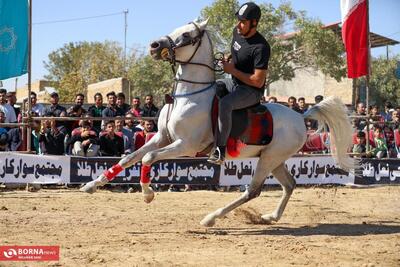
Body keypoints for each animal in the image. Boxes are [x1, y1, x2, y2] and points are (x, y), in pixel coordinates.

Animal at [80, 20, 354, 228]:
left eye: (187, 35)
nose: (154, 46)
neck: (188, 96)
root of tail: (301, 115)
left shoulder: (185, 146)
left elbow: (147, 159)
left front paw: (148, 195)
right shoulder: (162, 138)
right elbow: (129, 158)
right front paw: (92, 185)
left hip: (269, 159)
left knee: (253, 191)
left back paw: (211, 218)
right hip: (275, 159)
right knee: (289, 185)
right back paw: (270, 217)